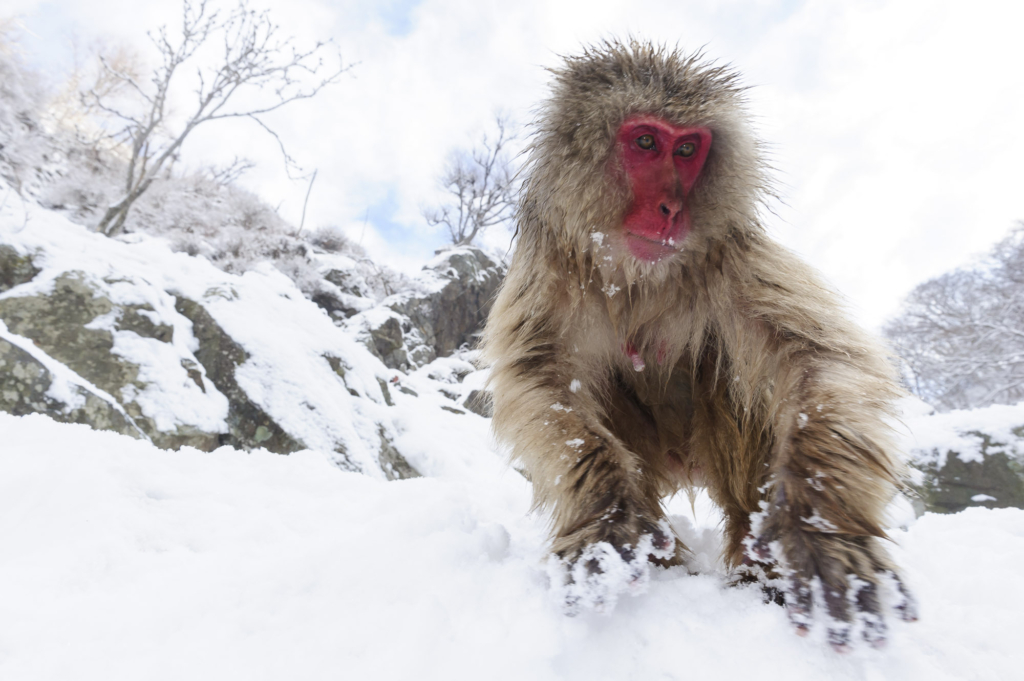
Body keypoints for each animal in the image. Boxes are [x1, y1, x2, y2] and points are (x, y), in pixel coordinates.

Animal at [481, 41, 921, 647]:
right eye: (646, 142)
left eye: (688, 149)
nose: (671, 208)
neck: (635, 278)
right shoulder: (549, 270)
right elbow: (541, 378)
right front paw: (608, 513)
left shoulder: (732, 259)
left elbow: (819, 359)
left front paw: (820, 528)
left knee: (738, 372)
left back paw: (759, 570)